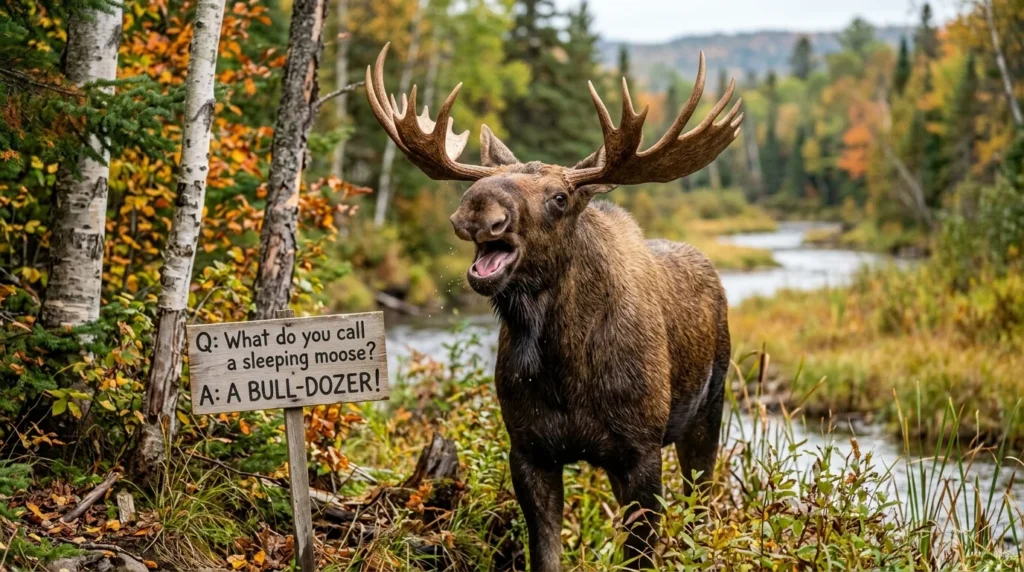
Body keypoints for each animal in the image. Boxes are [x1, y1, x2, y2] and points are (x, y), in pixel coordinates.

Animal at [366, 44, 742, 571]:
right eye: (490, 181)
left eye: (560, 197)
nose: (478, 205)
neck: (564, 367)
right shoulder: (529, 449)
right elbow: (545, 554)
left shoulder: (642, 449)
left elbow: (640, 554)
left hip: (709, 408)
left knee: (702, 507)